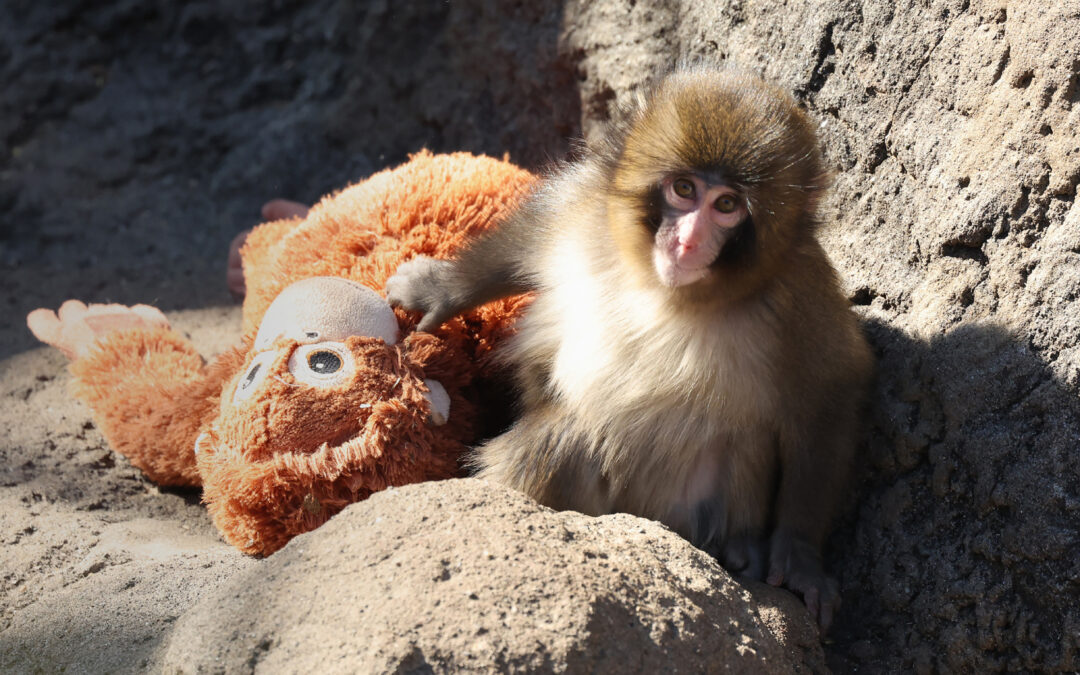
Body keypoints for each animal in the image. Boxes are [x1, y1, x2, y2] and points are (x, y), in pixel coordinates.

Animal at [385, 67, 872, 631]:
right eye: (683, 189)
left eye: (727, 206)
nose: (686, 242)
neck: (665, 290)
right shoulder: (587, 208)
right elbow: (529, 236)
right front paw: (440, 289)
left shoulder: (799, 296)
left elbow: (830, 392)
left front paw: (800, 557)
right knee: (564, 438)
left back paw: (742, 548)